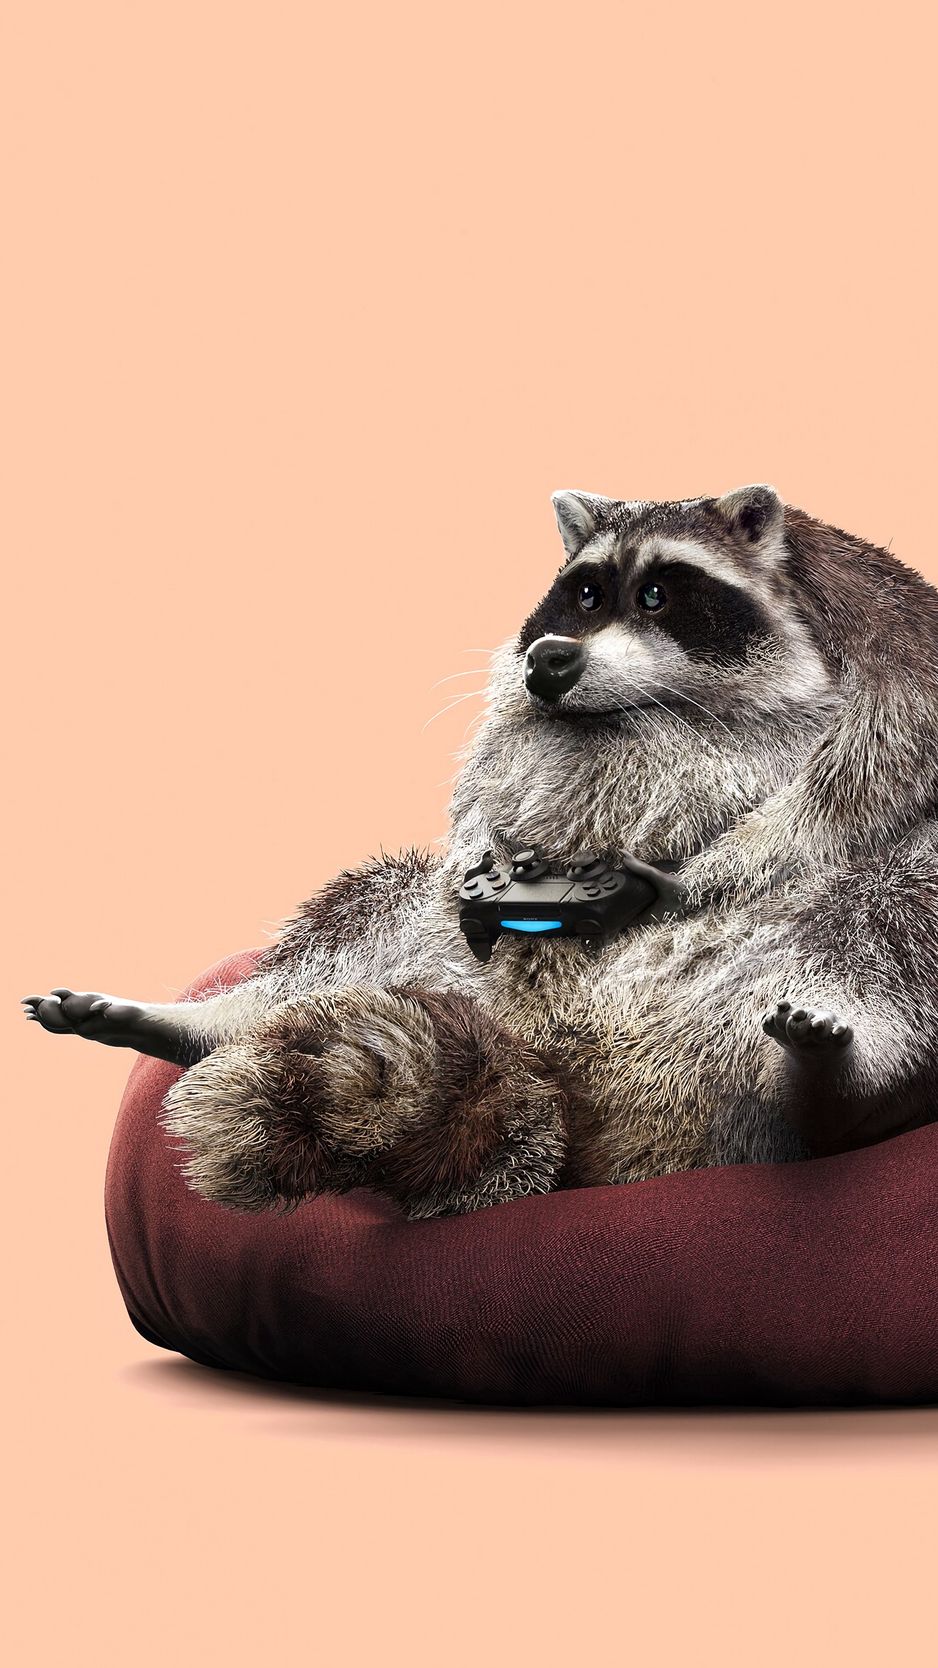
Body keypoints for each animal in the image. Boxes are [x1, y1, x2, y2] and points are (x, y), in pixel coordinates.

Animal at [23, 485, 938, 1218]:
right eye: (582, 594)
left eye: (656, 596)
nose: (550, 662)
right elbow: (494, 783)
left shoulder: (890, 639)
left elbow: (863, 782)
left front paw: (692, 872)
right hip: (440, 966)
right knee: (372, 911)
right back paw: (208, 1020)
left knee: (892, 909)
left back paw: (832, 1095)